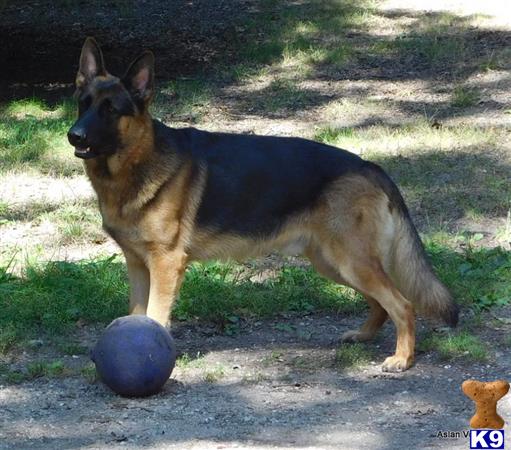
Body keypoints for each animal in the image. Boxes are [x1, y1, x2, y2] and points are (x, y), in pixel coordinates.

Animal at [68, 38, 460, 370]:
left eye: (111, 110)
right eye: (83, 104)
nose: (74, 135)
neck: (135, 163)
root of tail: (370, 166)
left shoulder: (165, 264)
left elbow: (154, 315)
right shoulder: (137, 265)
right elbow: (136, 313)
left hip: (351, 262)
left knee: (402, 304)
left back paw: (402, 359)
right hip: (334, 264)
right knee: (381, 303)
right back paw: (364, 336)